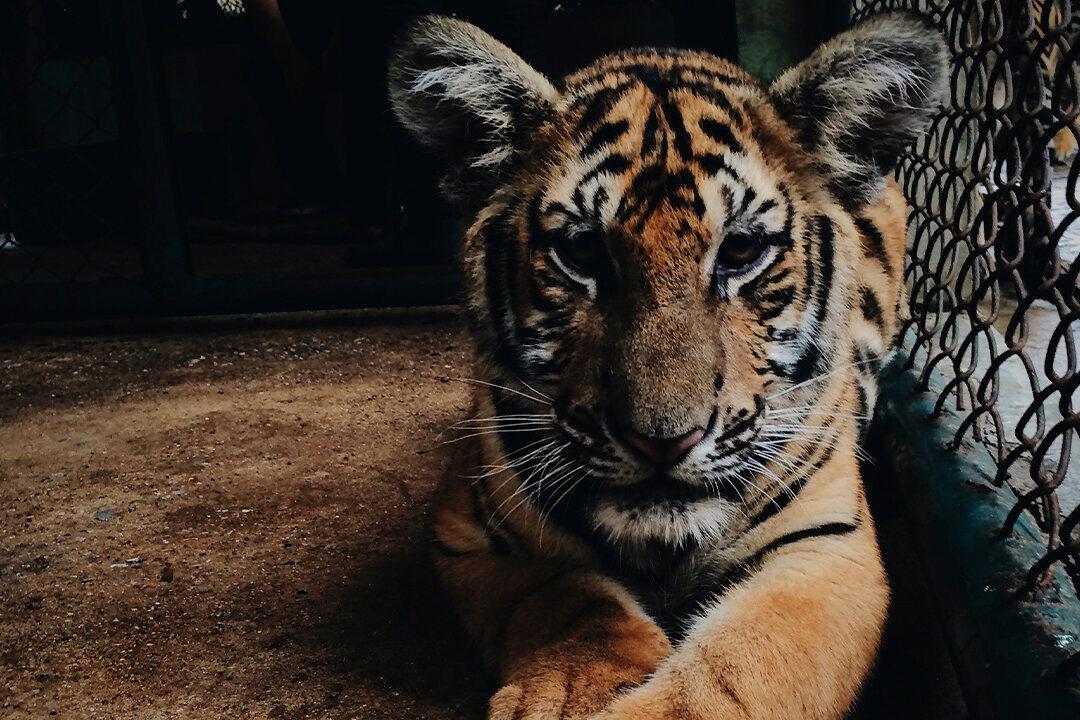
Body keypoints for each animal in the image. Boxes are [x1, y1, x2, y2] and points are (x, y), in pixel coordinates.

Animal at [389, 11, 945, 720]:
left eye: (741, 251)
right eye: (582, 252)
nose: (662, 442)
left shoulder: (827, 546)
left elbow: (741, 671)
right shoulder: (469, 528)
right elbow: (568, 596)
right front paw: (569, 690)